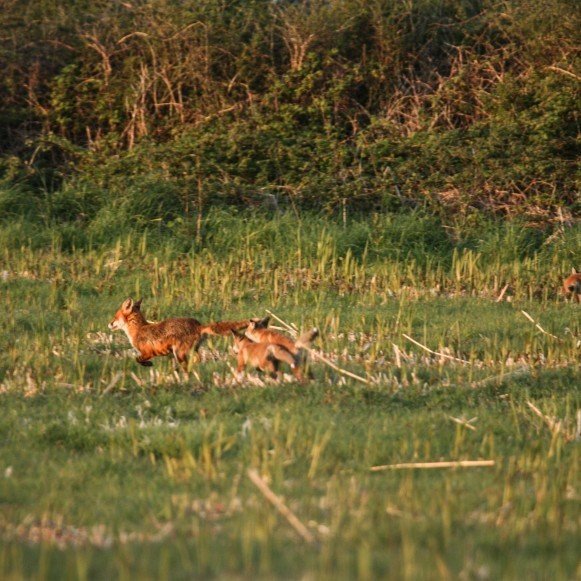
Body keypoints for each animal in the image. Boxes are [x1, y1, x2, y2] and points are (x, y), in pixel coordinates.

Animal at [108, 300, 260, 368]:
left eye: (115, 317)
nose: (108, 324)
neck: (139, 330)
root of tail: (198, 325)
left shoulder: (148, 352)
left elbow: (138, 359)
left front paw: (148, 365)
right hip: (192, 350)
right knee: (198, 359)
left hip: (179, 353)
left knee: (189, 363)